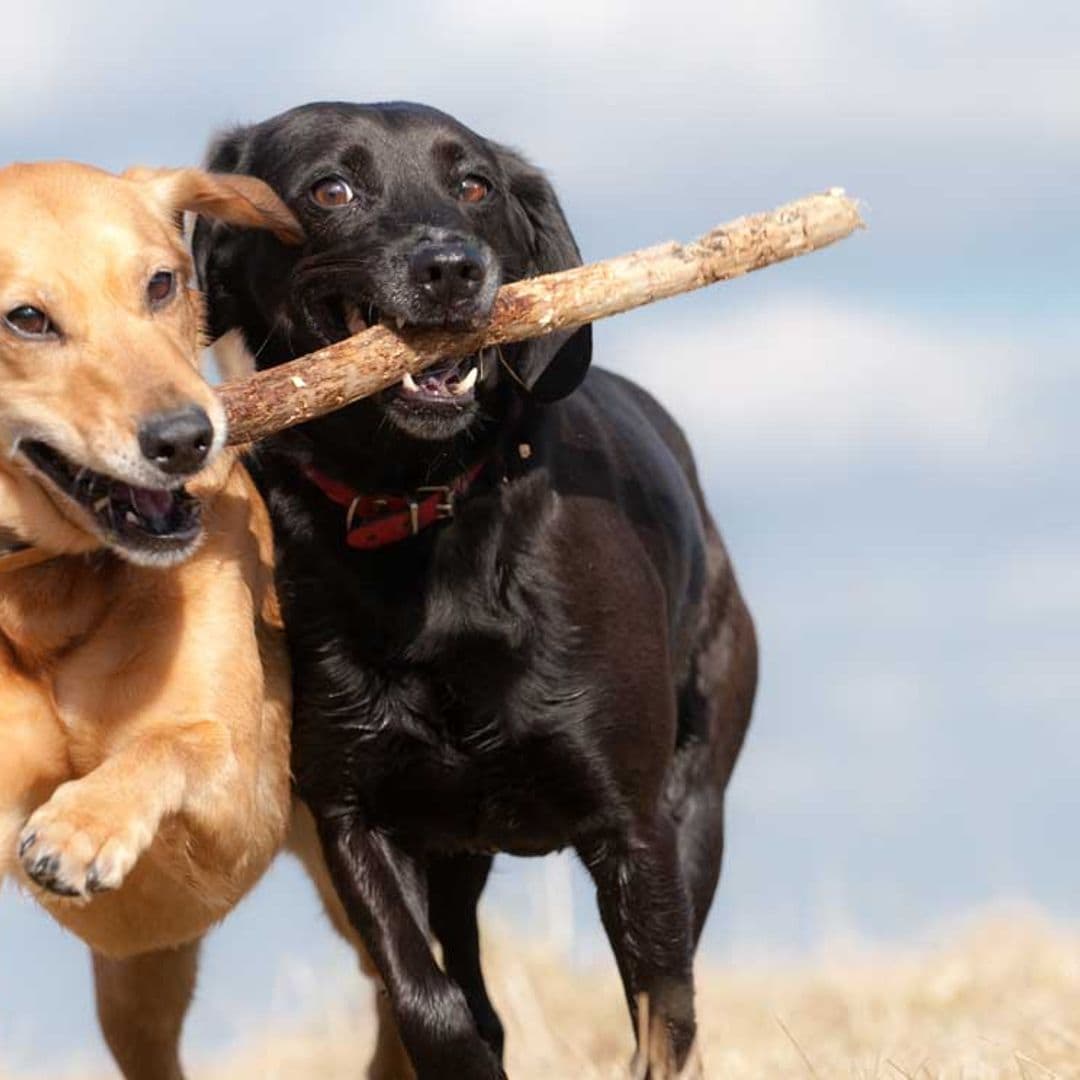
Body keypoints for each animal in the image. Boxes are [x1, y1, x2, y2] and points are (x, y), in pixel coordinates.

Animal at [0, 159, 298, 1080]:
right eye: (26, 319)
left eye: (161, 282)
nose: (185, 439)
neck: (50, 587)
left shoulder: (243, 811)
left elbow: (180, 736)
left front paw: (82, 825)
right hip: (135, 990)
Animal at [198, 103, 760, 1080]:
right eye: (330, 189)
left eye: (475, 185)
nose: (453, 268)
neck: (421, 515)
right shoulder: (356, 818)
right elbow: (429, 1002)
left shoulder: (636, 830)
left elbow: (664, 1015)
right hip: (456, 854)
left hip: (701, 798)